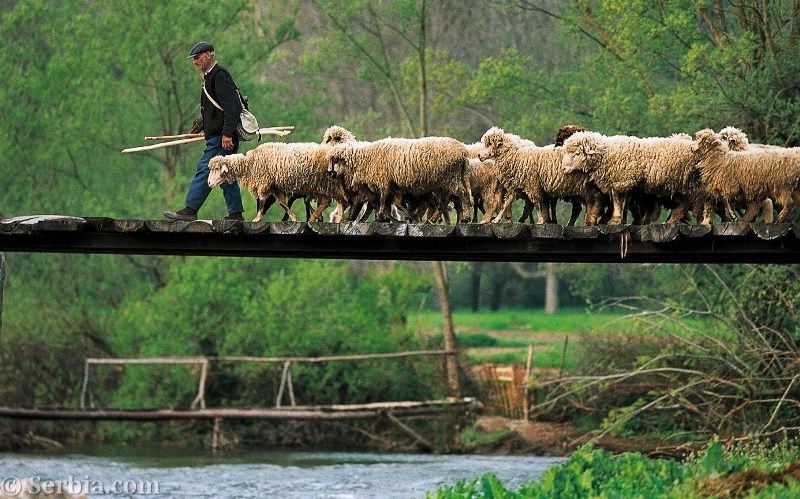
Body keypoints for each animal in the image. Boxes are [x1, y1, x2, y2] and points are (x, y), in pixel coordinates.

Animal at [326, 136, 472, 224]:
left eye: (335, 161)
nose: (330, 174)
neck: (365, 158)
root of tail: (463, 152)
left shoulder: (384, 181)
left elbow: (383, 199)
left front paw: (381, 216)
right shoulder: (394, 186)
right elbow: (394, 202)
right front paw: (405, 216)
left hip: (450, 178)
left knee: (463, 194)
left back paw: (465, 218)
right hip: (448, 180)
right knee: (446, 200)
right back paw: (433, 219)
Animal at [560, 131, 704, 225]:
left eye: (576, 154)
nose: (563, 168)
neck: (606, 154)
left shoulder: (621, 181)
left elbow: (617, 202)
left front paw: (616, 220)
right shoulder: (621, 184)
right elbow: (621, 202)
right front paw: (619, 220)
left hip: (688, 183)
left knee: (693, 202)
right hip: (678, 186)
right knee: (684, 203)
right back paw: (671, 221)